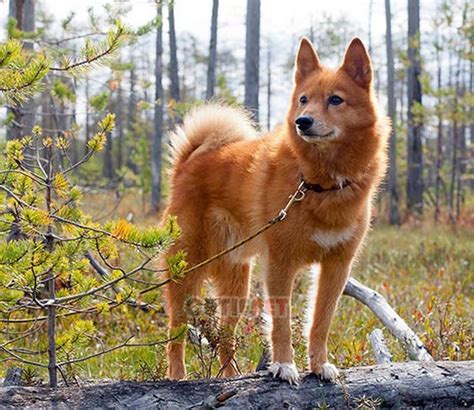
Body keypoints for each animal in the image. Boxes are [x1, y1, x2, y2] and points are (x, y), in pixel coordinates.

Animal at [161, 36, 386, 384]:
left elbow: (320, 322)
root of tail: (190, 162)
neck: (317, 183)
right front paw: (283, 365)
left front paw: (320, 365)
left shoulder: (336, 267)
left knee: (226, 337)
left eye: (335, 100)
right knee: (176, 331)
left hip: (236, 284)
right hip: (188, 269)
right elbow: (280, 323)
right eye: (304, 100)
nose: (302, 121)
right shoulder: (281, 263)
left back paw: (230, 377)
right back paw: (177, 376)